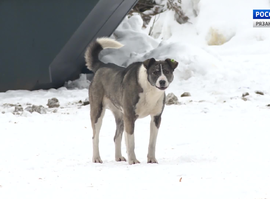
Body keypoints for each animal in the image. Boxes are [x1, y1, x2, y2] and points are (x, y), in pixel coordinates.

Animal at [84, 37, 177, 165]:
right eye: (155, 72)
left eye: (167, 72)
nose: (162, 82)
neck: (149, 89)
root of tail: (101, 66)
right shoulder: (130, 116)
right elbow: (131, 142)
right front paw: (132, 160)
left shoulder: (156, 118)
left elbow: (152, 143)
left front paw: (151, 159)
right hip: (97, 111)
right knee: (95, 137)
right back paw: (96, 158)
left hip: (120, 116)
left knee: (116, 137)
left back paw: (118, 157)